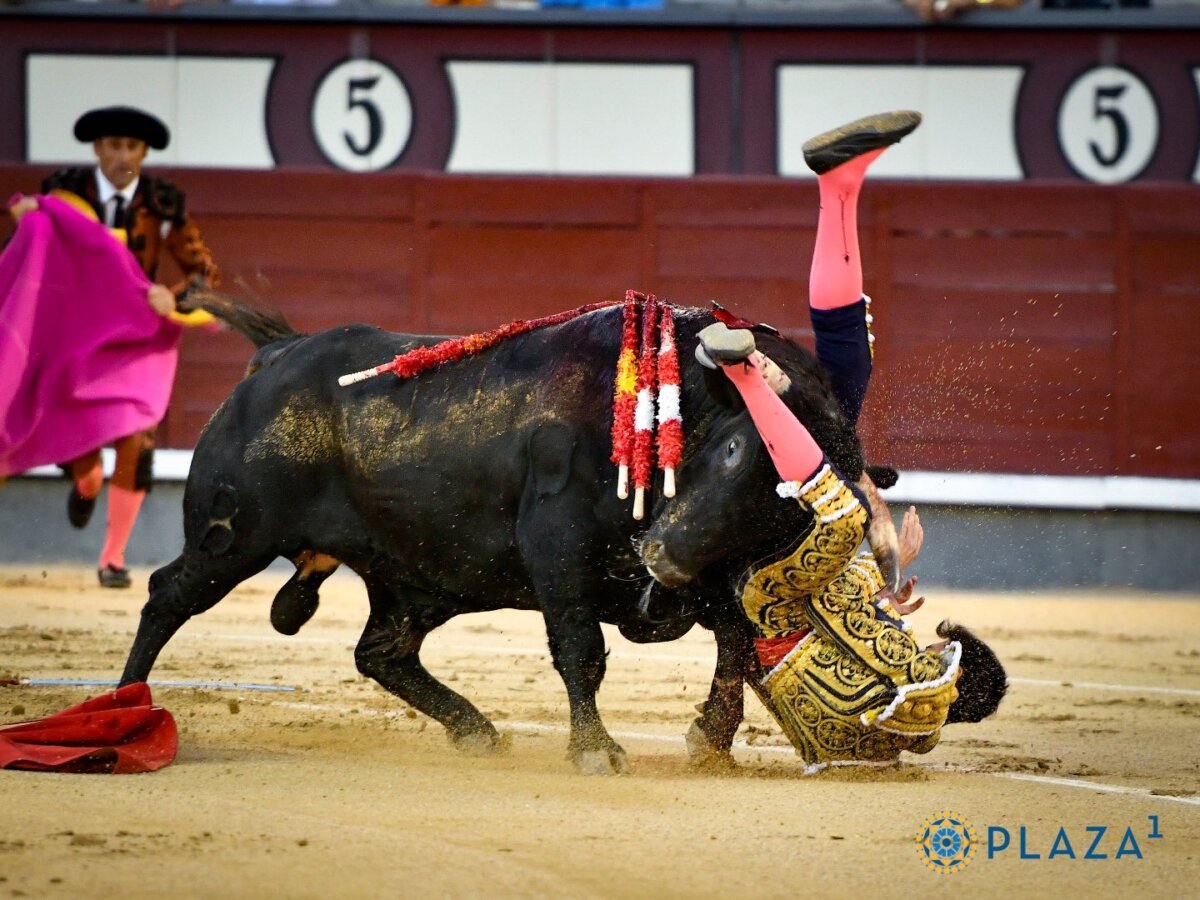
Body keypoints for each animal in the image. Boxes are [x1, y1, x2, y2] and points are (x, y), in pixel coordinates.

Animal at [119, 295, 890, 774]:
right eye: (733, 450)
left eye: (788, 509)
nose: (662, 559)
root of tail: (276, 357)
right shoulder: (558, 547)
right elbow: (582, 651)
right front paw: (595, 751)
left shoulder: (704, 570)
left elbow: (737, 645)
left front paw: (710, 740)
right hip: (231, 537)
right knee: (166, 597)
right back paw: (124, 709)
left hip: (419, 578)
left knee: (381, 651)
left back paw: (477, 731)